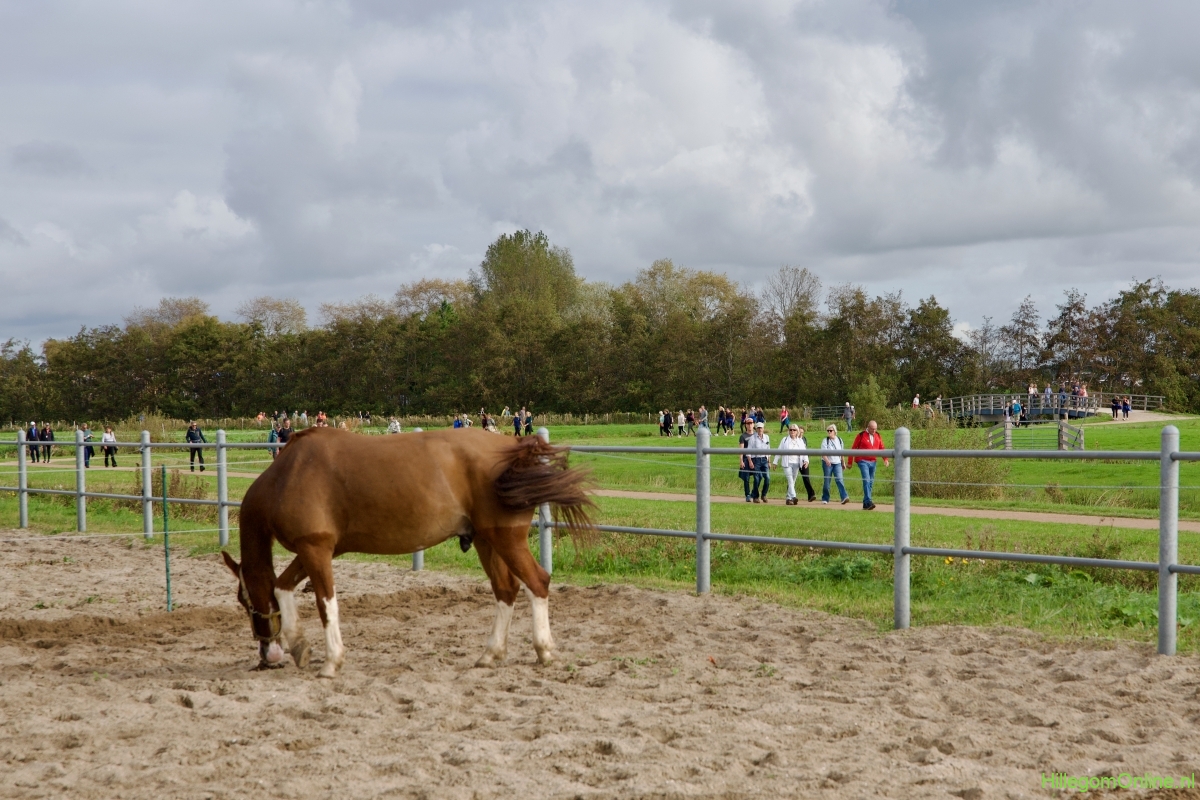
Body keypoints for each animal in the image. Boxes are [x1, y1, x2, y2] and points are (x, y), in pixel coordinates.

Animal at [220, 427, 593, 677]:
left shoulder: (316, 549)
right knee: (506, 590)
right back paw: (490, 654)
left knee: (537, 582)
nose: (267, 655)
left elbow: (326, 604)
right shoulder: (315, 550)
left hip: (506, 540)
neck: (289, 476)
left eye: (245, 601)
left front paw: (331, 661)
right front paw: (299, 645)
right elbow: (283, 586)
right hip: (487, 542)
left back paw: (544, 651)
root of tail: (513, 444)